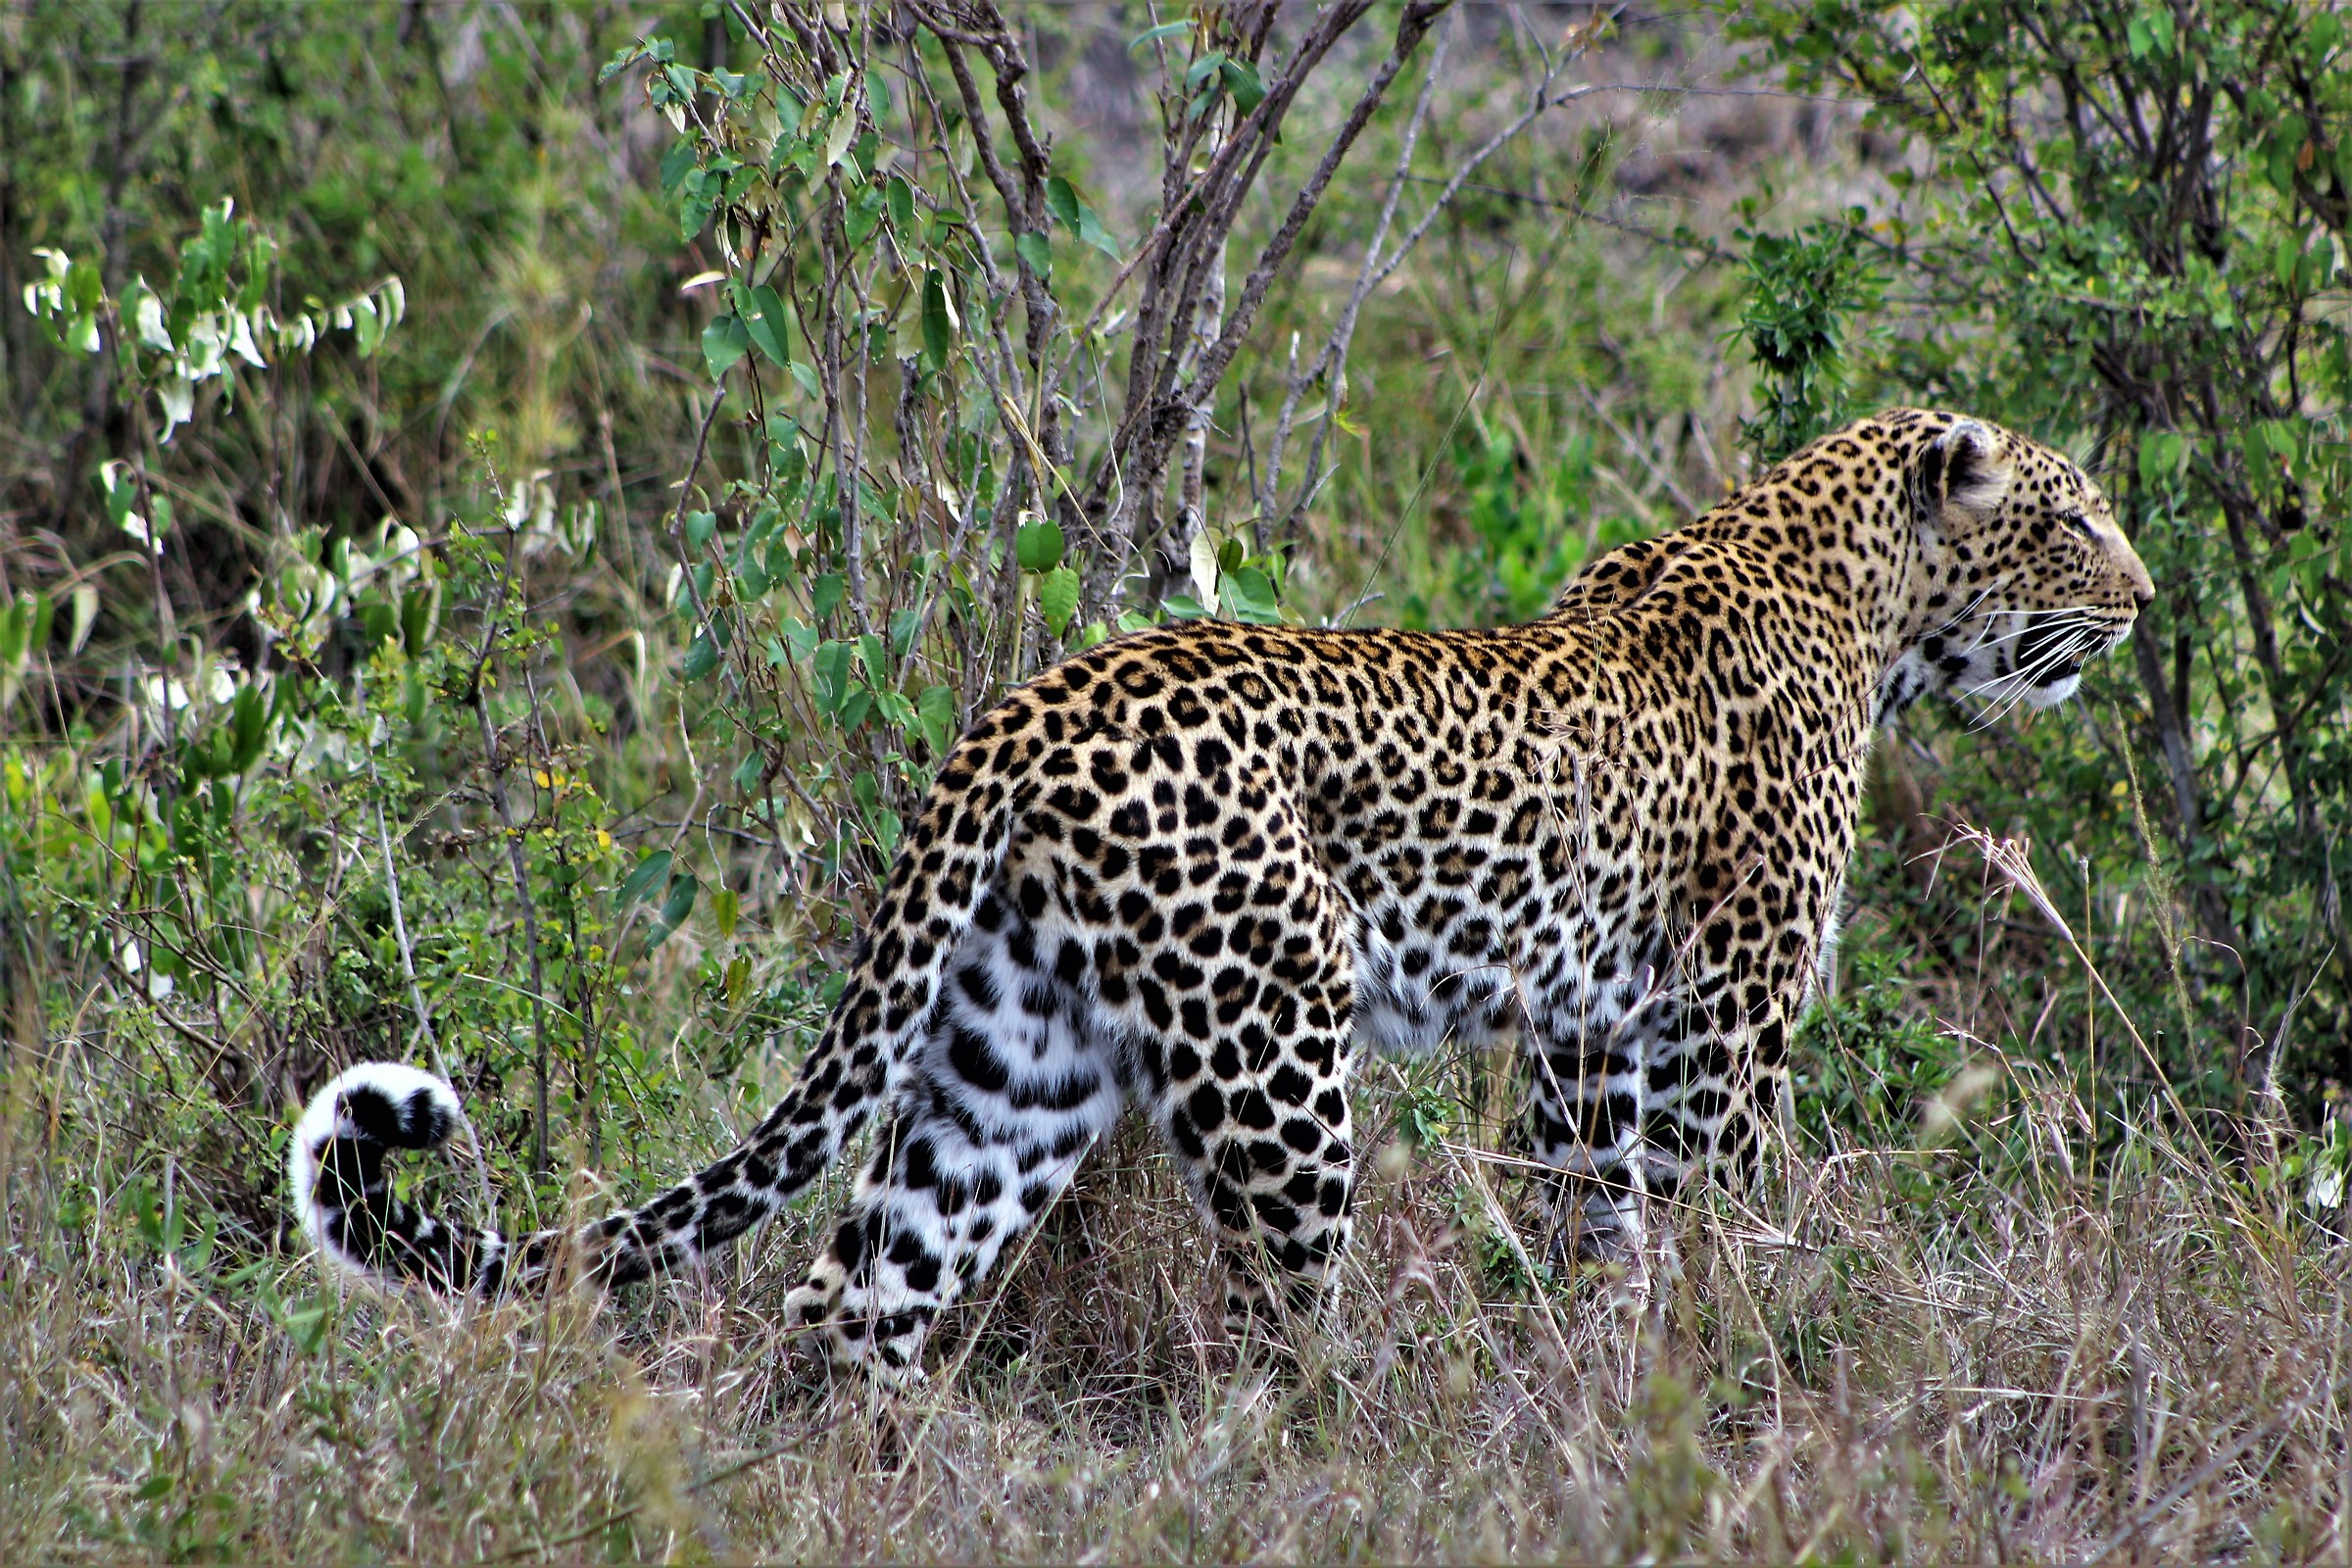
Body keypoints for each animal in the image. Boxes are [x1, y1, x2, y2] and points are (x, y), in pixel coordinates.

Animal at [292, 408, 2153, 1378]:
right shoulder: (1727, 1023)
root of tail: (1027, 709)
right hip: (1275, 1051)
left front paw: (1596, 1384)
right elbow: (1723, 1226)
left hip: (1013, 1068)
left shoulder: (1587, 1032)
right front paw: (1744, 1369)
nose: (2142, 600)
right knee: (1270, 1328)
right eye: (2074, 522)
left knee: (856, 1297)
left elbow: (1593, 1229)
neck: (1860, 600)